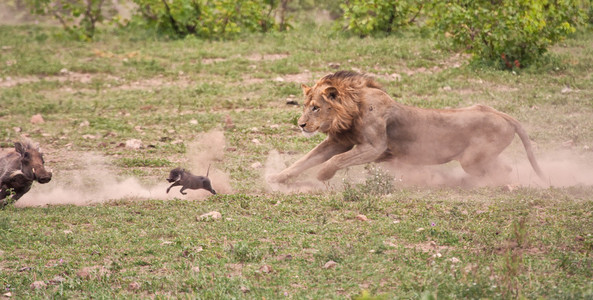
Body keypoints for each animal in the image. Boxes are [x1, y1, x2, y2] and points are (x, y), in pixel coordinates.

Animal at [268, 70, 544, 185]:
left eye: (315, 107)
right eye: (305, 105)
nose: (301, 124)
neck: (352, 110)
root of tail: (502, 114)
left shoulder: (374, 146)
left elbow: (336, 161)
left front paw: (323, 175)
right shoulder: (338, 141)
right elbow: (304, 160)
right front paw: (276, 177)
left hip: (472, 159)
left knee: (503, 170)